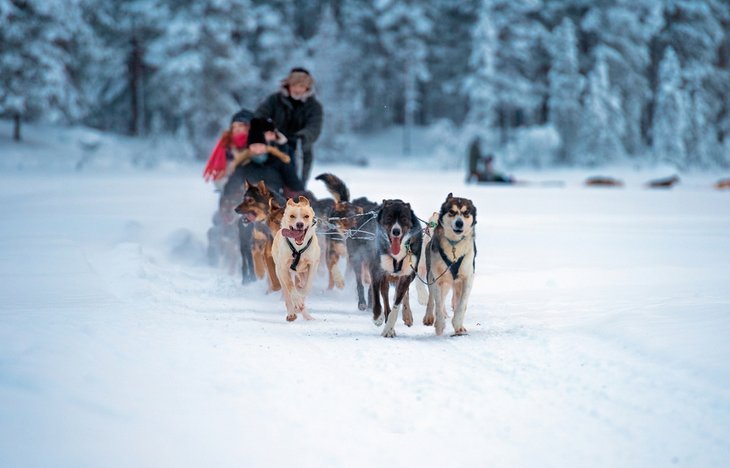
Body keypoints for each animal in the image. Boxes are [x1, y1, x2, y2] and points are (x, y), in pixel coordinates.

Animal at [420, 194, 478, 336]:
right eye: (451, 211)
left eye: (466, 212)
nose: (459, 223)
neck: (454, 246)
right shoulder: (437, 278)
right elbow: (438, 303)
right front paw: (440, 324)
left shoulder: (468, 278)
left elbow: (462, 305)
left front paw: (457, 324)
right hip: (434, 278)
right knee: (433, 299)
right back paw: (429, 317)